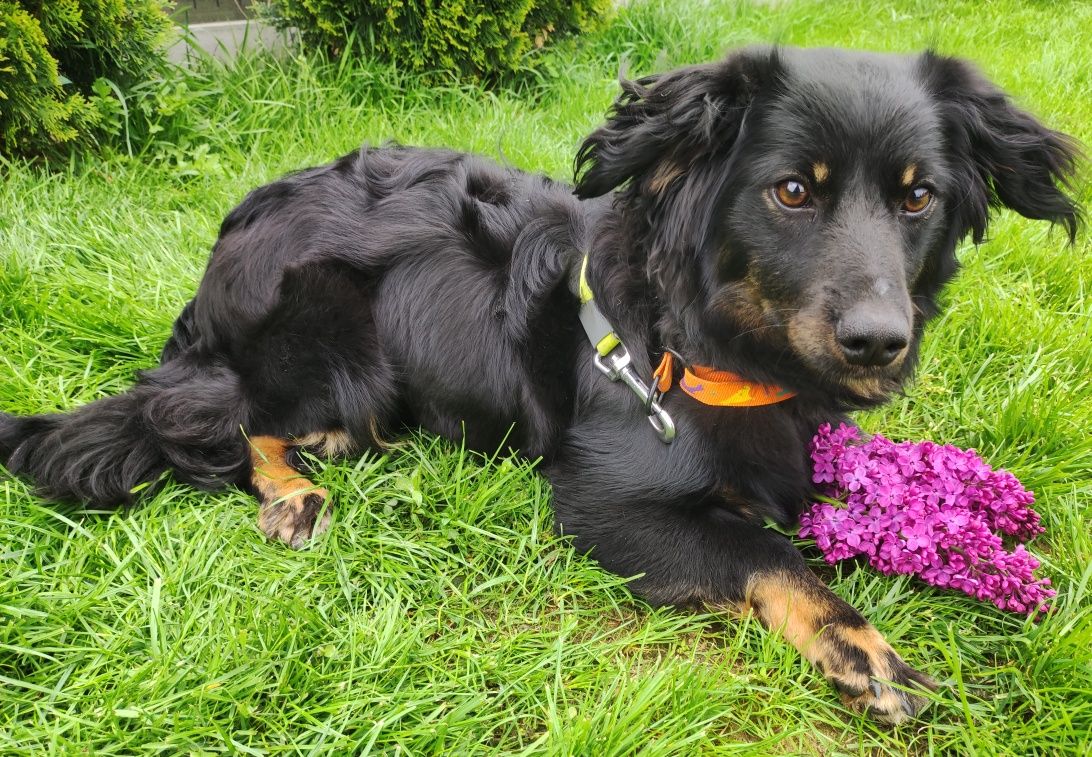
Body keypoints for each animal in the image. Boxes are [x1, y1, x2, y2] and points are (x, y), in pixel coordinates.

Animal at [0, 45, 1078, 720]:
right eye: (791, 192)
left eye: (918, 198)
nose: (879, 341)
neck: (703, 345)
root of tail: (222, 253)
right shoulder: (604, 502)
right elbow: (768, 555)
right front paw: (864, 648)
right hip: (334, 347)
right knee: (218, 416)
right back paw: (296, 491)